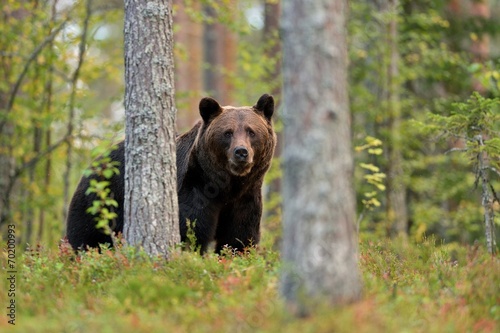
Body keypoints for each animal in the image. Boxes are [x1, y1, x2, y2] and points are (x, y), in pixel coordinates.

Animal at [64, 94, 276, 253]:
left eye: (251, 131)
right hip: (100, 201)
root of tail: (94, 163)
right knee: (87, 238)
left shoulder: (245, 199)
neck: (227, 186)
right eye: (228, 132)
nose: (241, 152)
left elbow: (239, 238)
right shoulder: (194, 190)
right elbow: (191, 231)